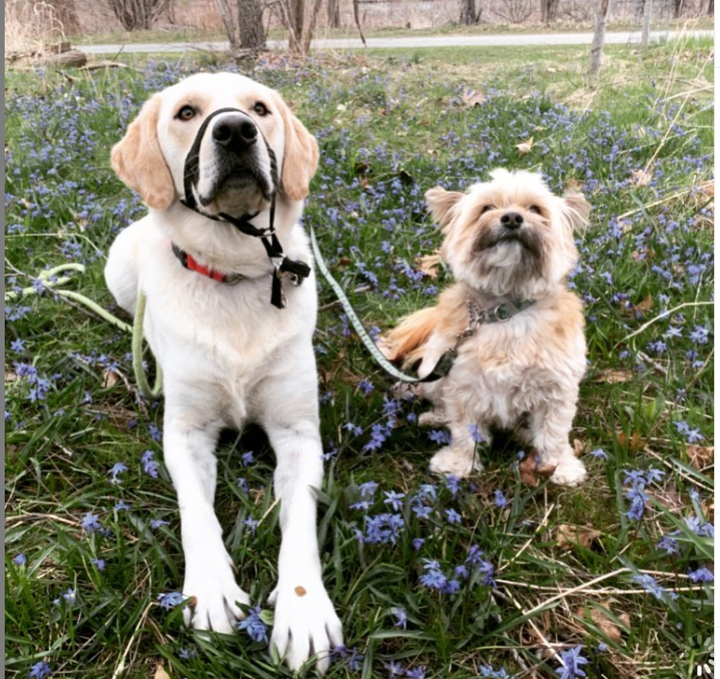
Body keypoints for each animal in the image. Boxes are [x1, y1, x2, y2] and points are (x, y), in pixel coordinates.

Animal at [104, 71, 344, 672]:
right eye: (186, 112)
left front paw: (303, 610)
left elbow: (299, 525)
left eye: (260, 108)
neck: (233, 274)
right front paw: (210, 591)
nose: (236, 130)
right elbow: (196, 513)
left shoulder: (299, 432)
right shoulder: (184, 433)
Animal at [386, 170, 588, 488]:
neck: (504, 312)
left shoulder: (557, 390)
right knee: (440, 402)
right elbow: (464, 432)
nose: (512, 218)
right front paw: (459, 464)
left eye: (535, 209)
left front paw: (560, 466)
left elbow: (554, 433)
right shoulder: (462, 384)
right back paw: (435, 417)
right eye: (486, 208)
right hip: (434, 369)